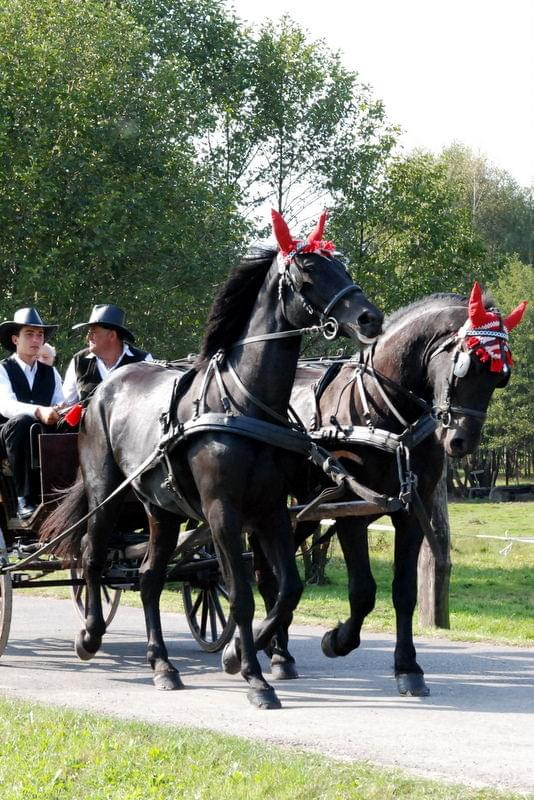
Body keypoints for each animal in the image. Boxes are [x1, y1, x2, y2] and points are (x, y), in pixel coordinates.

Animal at [40, 211, 386, 708]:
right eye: (308, 272)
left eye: (341, 265)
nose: (370, 317)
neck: (242, 403)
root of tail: (101, 391)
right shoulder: (222, 512)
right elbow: (242, 595)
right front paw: (255, 678)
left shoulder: (270, 510)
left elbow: (287, 588)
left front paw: (240, 655)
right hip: (105, 492)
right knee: (90, 556)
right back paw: (90, 635)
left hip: (159, 509)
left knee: (149, 578)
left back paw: (162, 666)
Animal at [254, 286, 528, 692]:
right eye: (466, 366)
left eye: (500, 378)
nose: (461, 442)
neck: (384, 415)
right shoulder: (350, 511)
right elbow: (363, 592)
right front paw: (337, 640)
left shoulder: (412, 512)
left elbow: (404, 591)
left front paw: (408, 667)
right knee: (263, 570)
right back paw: (274, 649)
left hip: (303, 510)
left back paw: (279, 650)